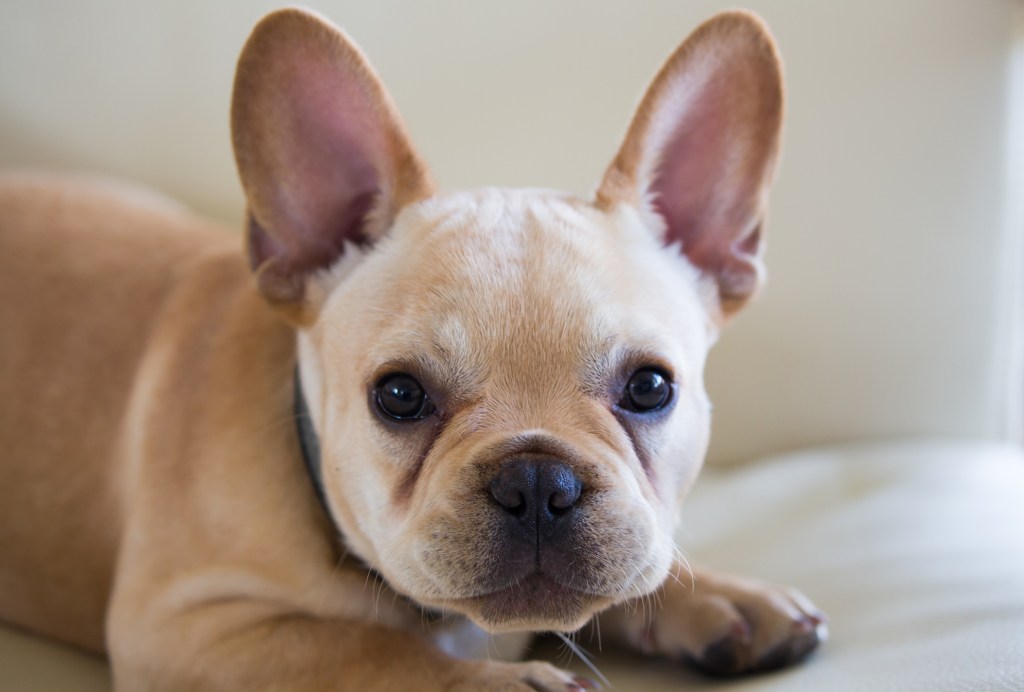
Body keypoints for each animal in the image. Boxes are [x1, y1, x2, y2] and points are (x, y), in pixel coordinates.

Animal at [0, 6, 823, 692]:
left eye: (651, 388)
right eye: (399, 396)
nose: (537, 481)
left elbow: (636, 577)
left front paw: (720, 595)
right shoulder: (183, 630)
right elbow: (367, 649)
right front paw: (507, 684)